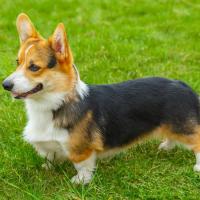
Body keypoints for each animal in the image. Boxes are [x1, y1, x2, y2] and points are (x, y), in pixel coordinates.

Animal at [2, 12, 200, 184]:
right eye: (17, 62)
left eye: (34, 67)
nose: (5, 84)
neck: (55, 103)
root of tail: (183, 85)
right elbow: (50, 157)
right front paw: (47, 167)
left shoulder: (81, 149)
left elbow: (83, 165)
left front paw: (80, 181)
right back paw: (166, 146)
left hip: (183, 127)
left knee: (196, 140)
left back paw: (197, 166)